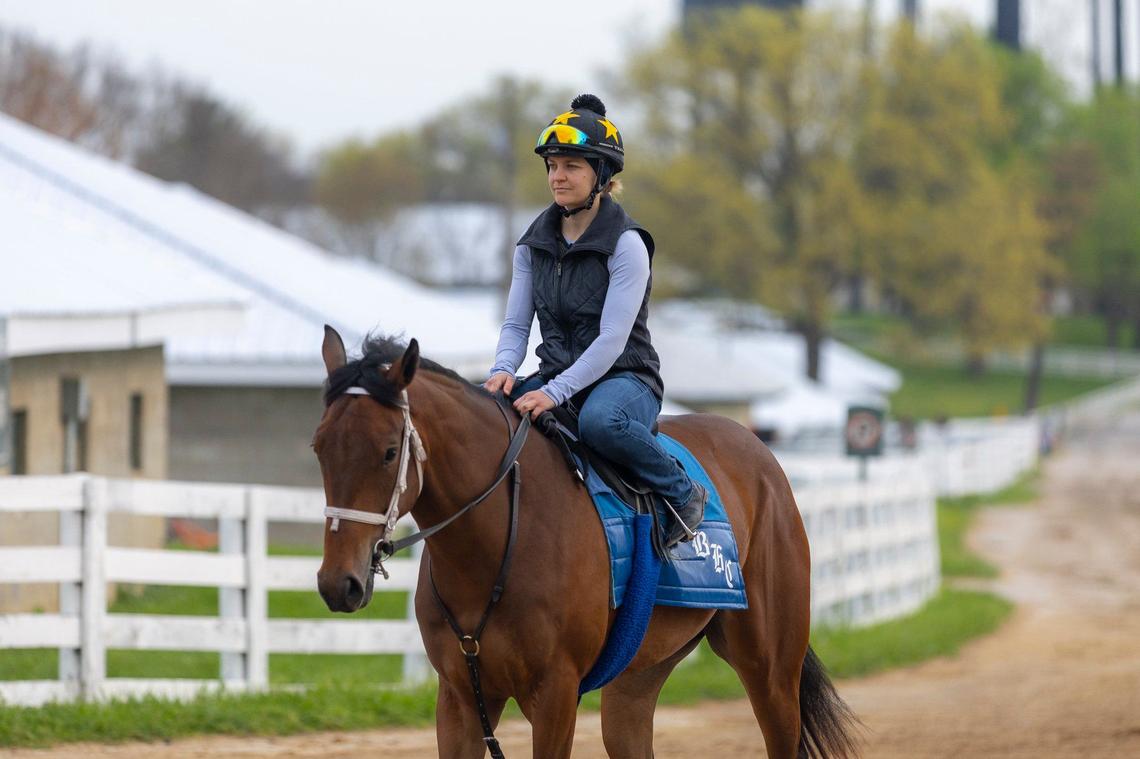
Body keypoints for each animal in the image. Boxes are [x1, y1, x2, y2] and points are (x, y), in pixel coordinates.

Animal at [314, 328, 859, 758]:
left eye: (389, 452)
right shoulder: (459, 698)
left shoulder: (555, 695)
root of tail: (759, 451)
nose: (338, 583)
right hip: (636, 679)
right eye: (319, 446)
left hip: (772, 669)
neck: (498, 544)